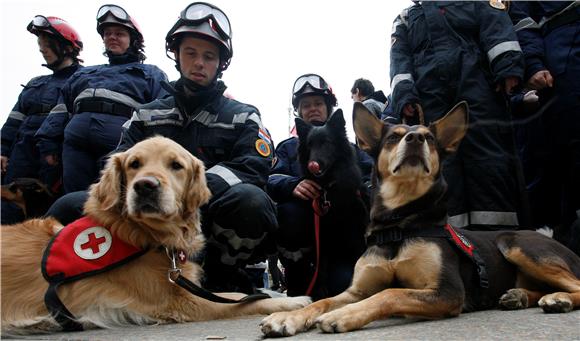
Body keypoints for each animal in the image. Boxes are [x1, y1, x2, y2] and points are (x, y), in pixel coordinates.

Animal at [262, 101, 580, 334]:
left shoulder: (447, 292)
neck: (398, 224)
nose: (415, 138)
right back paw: (521, 296)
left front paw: (344, 315)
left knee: (574, 285)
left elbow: (390, 293)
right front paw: (288, 317)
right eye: (393, 137)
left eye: (429, 138)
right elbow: (324, 299)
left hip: (517, 246)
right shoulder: (357, 289)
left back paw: (558, 298)